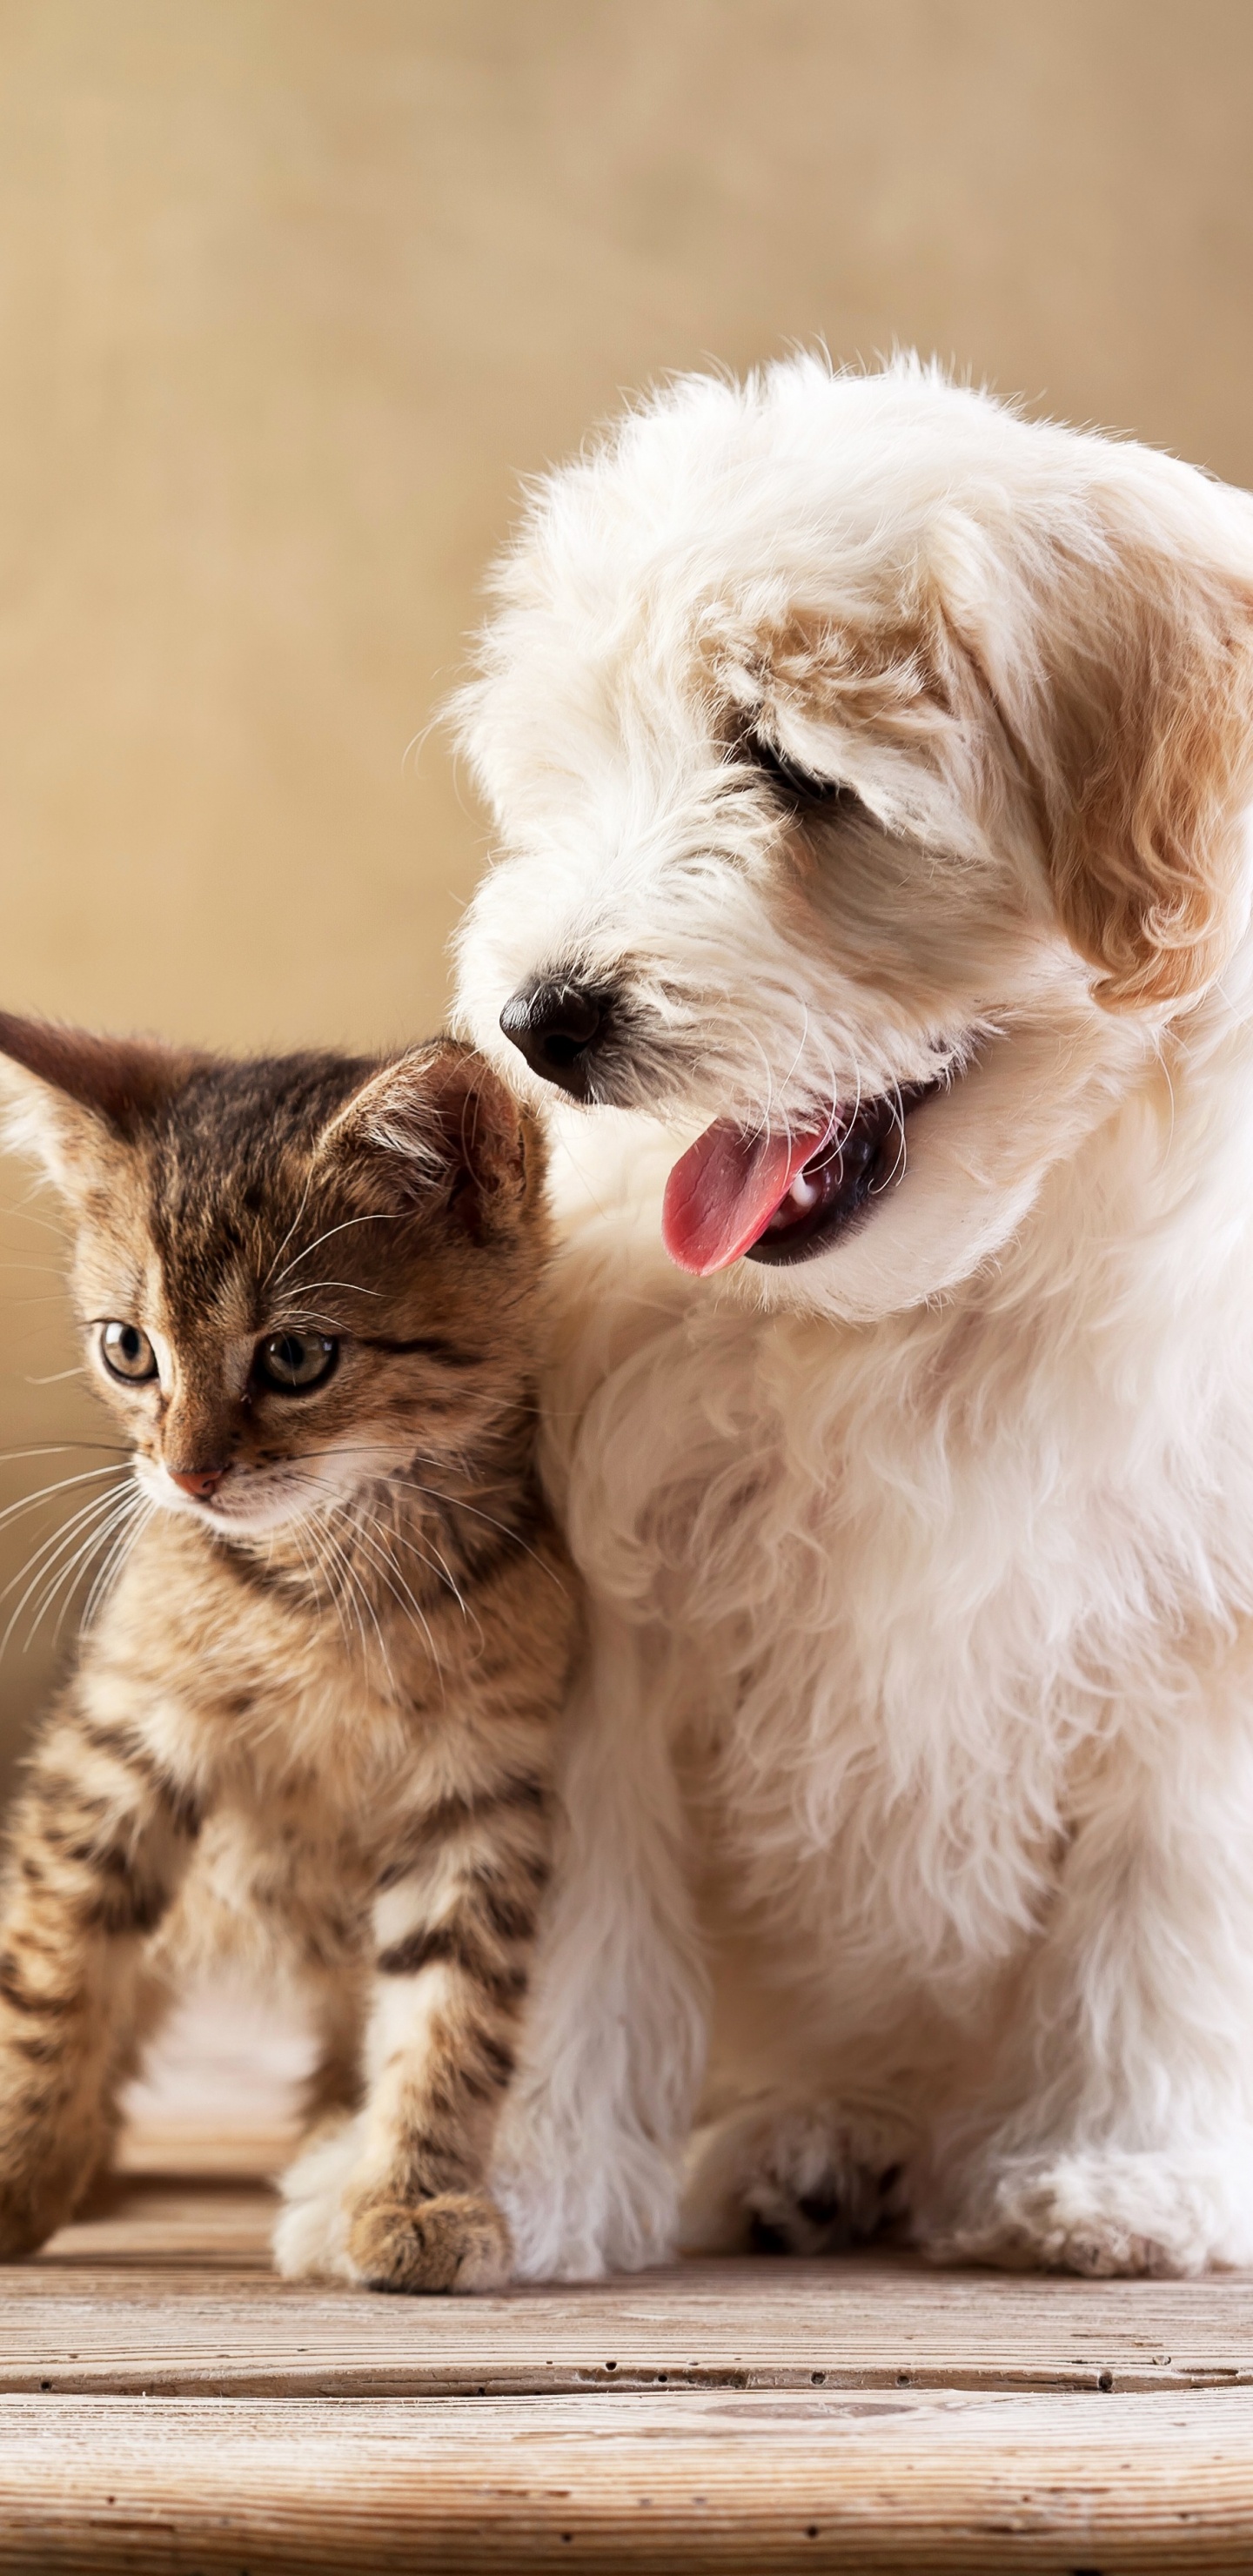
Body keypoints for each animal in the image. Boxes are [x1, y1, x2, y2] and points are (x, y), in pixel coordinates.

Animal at [0, 1015, 577, 2287]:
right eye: (128, 1349)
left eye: (298, 1357)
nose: (187, 1473)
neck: (325, 1589)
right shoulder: (119, 1744)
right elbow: (52, 1971)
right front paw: (17, 2162)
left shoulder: (481, 1791)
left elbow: (452, 2014)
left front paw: (413, 2192)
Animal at [451, 347, 1253, 2277]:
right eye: (580, 767)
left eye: (792, 772)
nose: (542, 1019)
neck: (925, 1313)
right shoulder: (598, 1591)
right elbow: (572, 1891)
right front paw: (508, 2177)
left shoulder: (1205, 1610)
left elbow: (1168, 1888)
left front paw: (1124, 2171)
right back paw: (816, 2143)